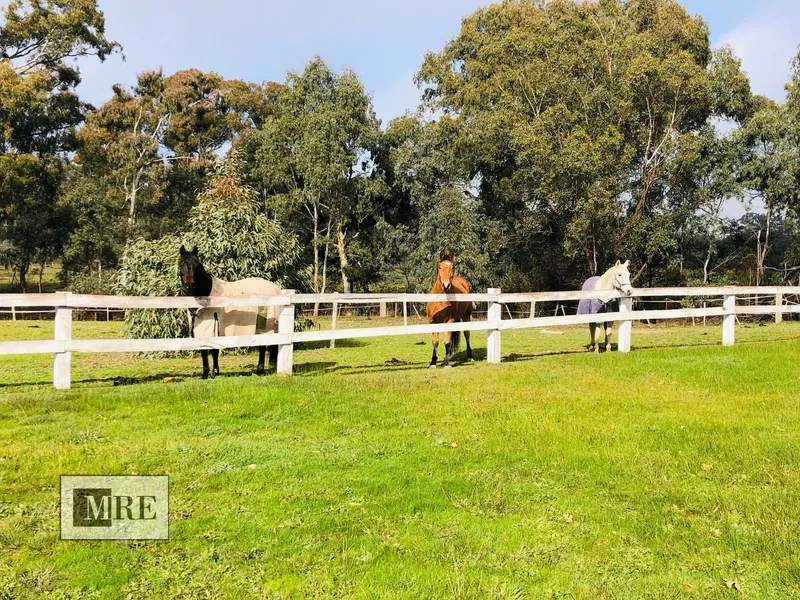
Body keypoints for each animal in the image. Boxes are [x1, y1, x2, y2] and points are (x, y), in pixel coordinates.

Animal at [178, 245, 280, 379]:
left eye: (196, 265)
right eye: (181, 264)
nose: (189, 286)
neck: (207, 294)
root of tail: (276, 288)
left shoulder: (211, 326)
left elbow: (211, 350)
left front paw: (210, 373)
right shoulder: (200, 328)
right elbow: (207, 350)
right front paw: (210, 373)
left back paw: (261, 370)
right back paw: (259, 370)